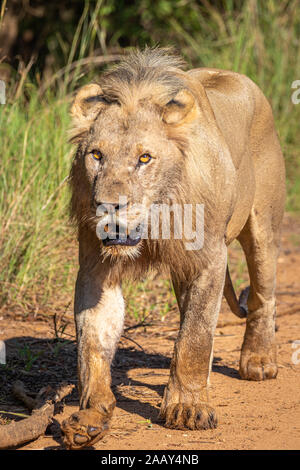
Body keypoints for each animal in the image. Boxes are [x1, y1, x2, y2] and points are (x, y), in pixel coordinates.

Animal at [59, 46, 284, 448]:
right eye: (96, 155)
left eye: (144, 158)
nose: (108, 205)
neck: (156, 220)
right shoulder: (96, 268)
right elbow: (93, 341)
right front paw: (90, 415)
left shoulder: (209, 259)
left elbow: (195, 337)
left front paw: (187, 409)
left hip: (263, 226)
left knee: (262, 295)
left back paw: (258, 361)